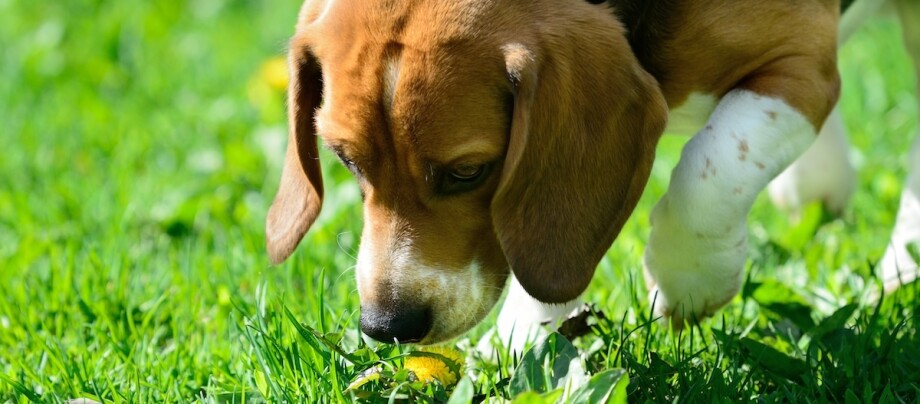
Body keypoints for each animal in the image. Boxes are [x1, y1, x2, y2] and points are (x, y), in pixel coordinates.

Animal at [266, 0, 920, 346]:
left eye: (468, 171)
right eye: (347, 160)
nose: (387, 325)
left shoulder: (802, 65)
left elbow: (707, 173)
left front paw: (688, 282)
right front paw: (524, 344)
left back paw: (900, 271)